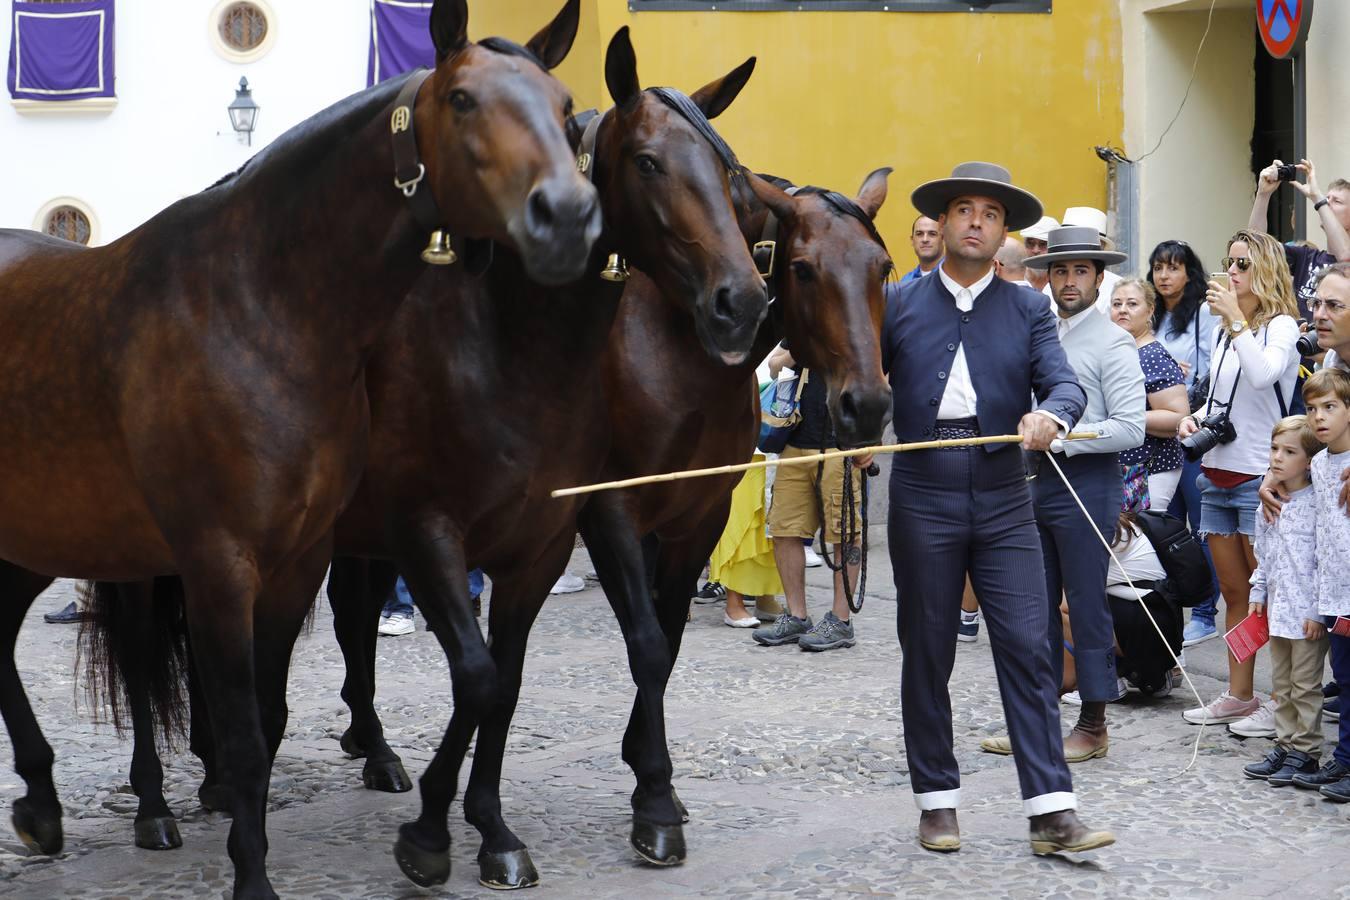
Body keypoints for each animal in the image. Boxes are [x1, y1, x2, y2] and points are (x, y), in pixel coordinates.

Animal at [0, 1, 596, 895]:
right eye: (462, 100)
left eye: (565, 109)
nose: (567, 217)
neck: (258, 309)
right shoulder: (218, 564)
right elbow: (244, 733)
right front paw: (252, 876)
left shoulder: (298, 561)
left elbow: (270, 721)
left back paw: (42, 802)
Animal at [81, 26, 772, 895]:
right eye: (648, 162)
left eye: (729, 172)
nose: (740, 302)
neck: (504, 344)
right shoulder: (435, 533)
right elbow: (480, 677)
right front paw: (433, 836)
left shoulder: (541, 548)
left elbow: (504, 683)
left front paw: (493, 829)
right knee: (147, 658)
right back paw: (156, 805)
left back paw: (289, 766)